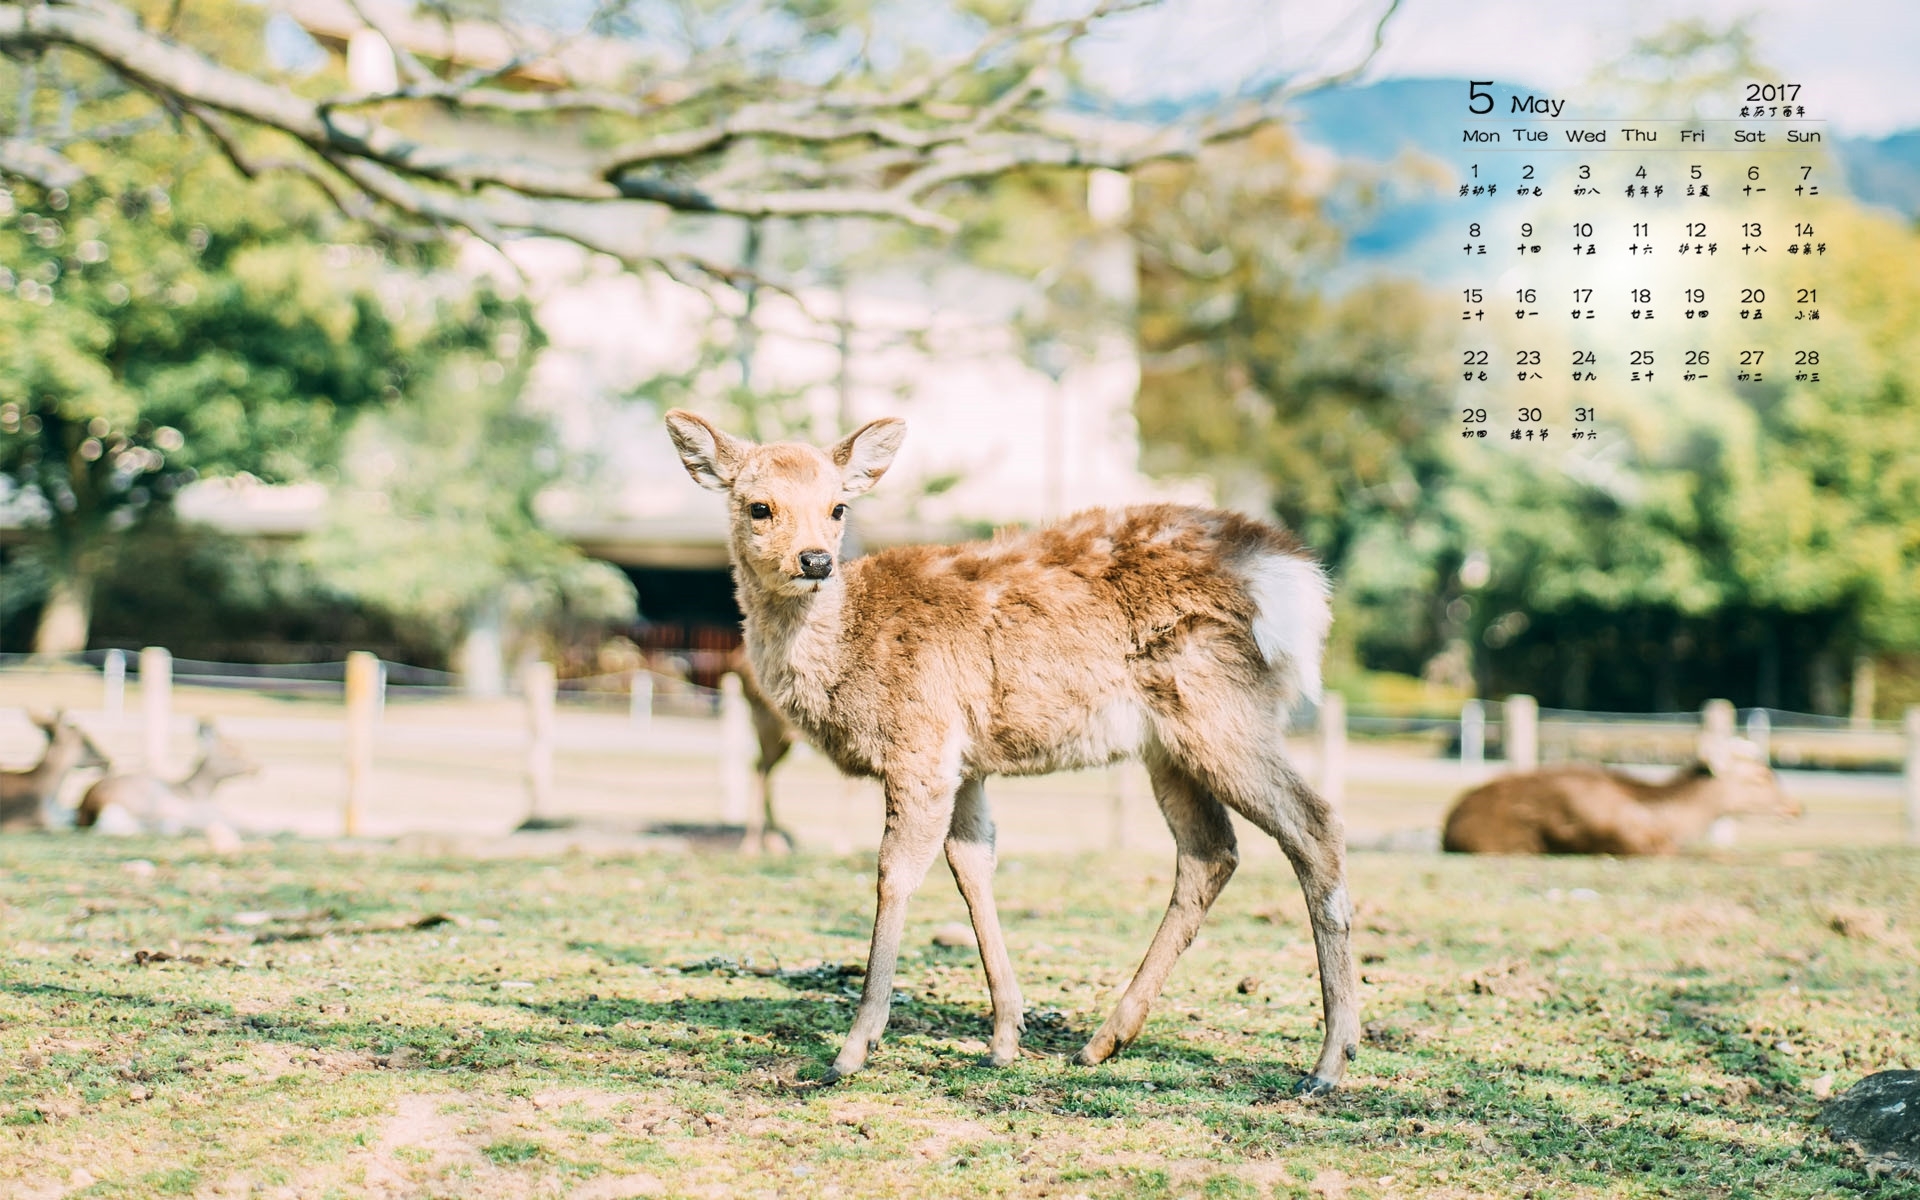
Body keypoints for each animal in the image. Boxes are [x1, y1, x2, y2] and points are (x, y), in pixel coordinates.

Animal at [75, 720, 260, 836]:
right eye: (232, 749)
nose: (256, 768)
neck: (198, 790)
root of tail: (91, 807)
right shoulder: (204, 810)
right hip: (156, 801)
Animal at [665, 410, 1358, 1094]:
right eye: (759, 506)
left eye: (839, 507)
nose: (814, 560)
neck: (848, 655)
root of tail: (1301, 585)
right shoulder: (964, 762)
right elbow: (972, 865)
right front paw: (1004, 1038)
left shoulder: (921, 741)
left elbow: (895, 872)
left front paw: (854, 1049)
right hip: (1170, 742)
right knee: (1211, 850)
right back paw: (1104, 1040)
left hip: (1217, 708)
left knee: (1313, 823)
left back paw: (1328, 1061)